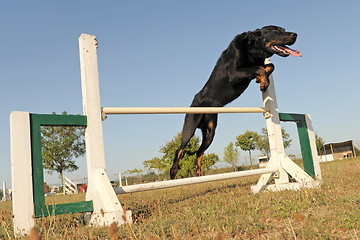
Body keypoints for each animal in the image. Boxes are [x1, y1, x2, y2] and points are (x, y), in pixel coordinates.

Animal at [169, 25, 300, 179]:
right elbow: (259, 68)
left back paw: (199, 173)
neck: (252, 48)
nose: (295, 35)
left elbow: (270, 66)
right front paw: (263, 83)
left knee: (199, 152)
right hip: (190, 124)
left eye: (283, 29)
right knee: (179, 148)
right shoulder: (234, 73)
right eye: (275, 31)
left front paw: (261, 80)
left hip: (210, 131)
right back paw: (173, 171)